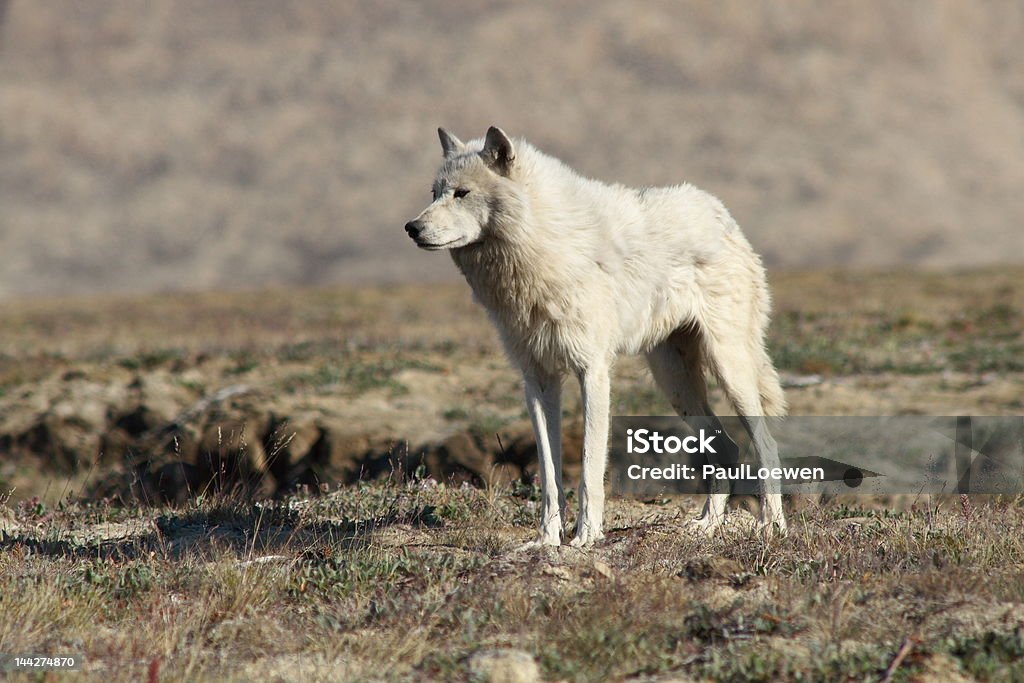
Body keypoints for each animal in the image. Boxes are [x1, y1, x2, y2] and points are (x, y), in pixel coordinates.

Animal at [403, 125, 786, 548]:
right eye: (434, 193)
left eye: (462, 193)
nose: (411, 228)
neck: (541, 246)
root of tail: (723, 215)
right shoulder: (537, 380)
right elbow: (549, 474)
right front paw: (547, 539)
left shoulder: (593, 371)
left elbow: (588, 467)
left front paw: (586, 536)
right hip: (675, 383)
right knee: (727, 447)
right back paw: (706, 525)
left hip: (728, 368)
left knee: (765, 444)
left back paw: (772, 526)